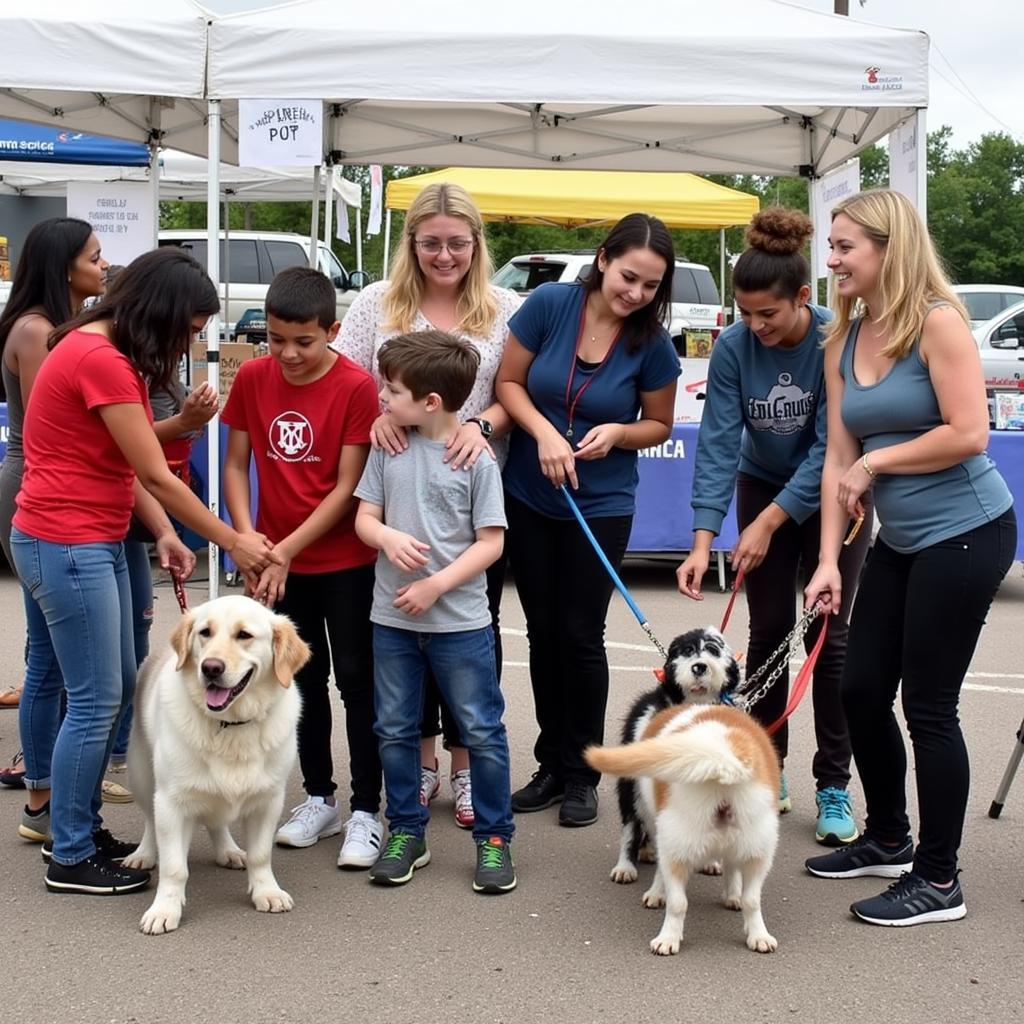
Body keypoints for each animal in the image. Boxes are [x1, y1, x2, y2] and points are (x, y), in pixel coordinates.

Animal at [124, 593, 307, 937]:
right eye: (204, 632)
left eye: (244, 635)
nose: (210, 668)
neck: (230, 725)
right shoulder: (170, 802)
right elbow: (174, 867)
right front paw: (164, 909)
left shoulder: (269, 800)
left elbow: (261, 854)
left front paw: (266, 891)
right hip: (141, 774)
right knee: (150, 822)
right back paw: (143, 854)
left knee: (217, 821)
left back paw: (229, 851)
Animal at [589, 700, 778, 954]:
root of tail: (723, 757)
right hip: (754, 848)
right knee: (749, 898)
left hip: (677, 837)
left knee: (678, 901)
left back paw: (668, 936)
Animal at [606, 622, 745, 880]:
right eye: (687, 651)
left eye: (713, 650)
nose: (699, 666)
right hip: (631, 787)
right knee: (632, 824)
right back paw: (626, 866)